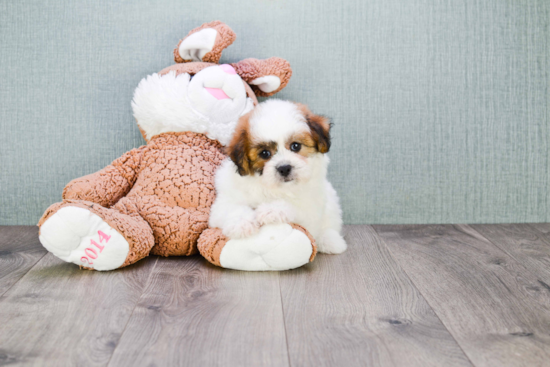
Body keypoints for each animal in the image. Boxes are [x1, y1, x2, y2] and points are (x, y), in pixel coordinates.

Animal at [209, 100, 348, 256]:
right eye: (264, 153)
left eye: (295, 146)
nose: (284, 168)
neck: (273, 188)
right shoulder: (224, 202)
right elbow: (231, 208)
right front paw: (241, 223)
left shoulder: (311, 208)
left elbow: (294, 206)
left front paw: (271, 210)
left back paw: (330, 240)